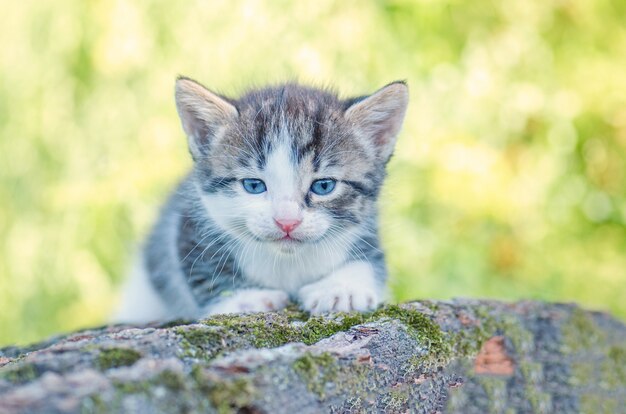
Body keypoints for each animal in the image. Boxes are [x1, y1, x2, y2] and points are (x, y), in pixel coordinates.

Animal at [114, 77, 408, 324]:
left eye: (324, 186)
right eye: (253, 185)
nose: (287, 222)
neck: (287, 262)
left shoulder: (366, 226)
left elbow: (370, 258)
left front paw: (341, 289)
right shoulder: (187, 222)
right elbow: (198, 265)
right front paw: (244, 299)